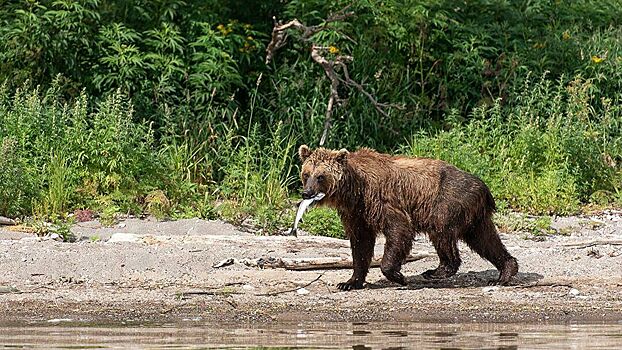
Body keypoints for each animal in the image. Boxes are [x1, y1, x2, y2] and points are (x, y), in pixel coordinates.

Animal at [300, 145, 520, 290]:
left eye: (320, 176)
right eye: (306, 174)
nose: (307, 193)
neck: (353, 189)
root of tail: (484, 188)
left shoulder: (380, 200)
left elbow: (399, 229)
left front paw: (398, 276)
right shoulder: (356, 213)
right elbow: (361, 244)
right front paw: (349, 282)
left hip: (446, 203)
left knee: (442, 233)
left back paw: (436, 271)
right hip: (475, 216)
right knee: (485, 240)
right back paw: (504, 272)